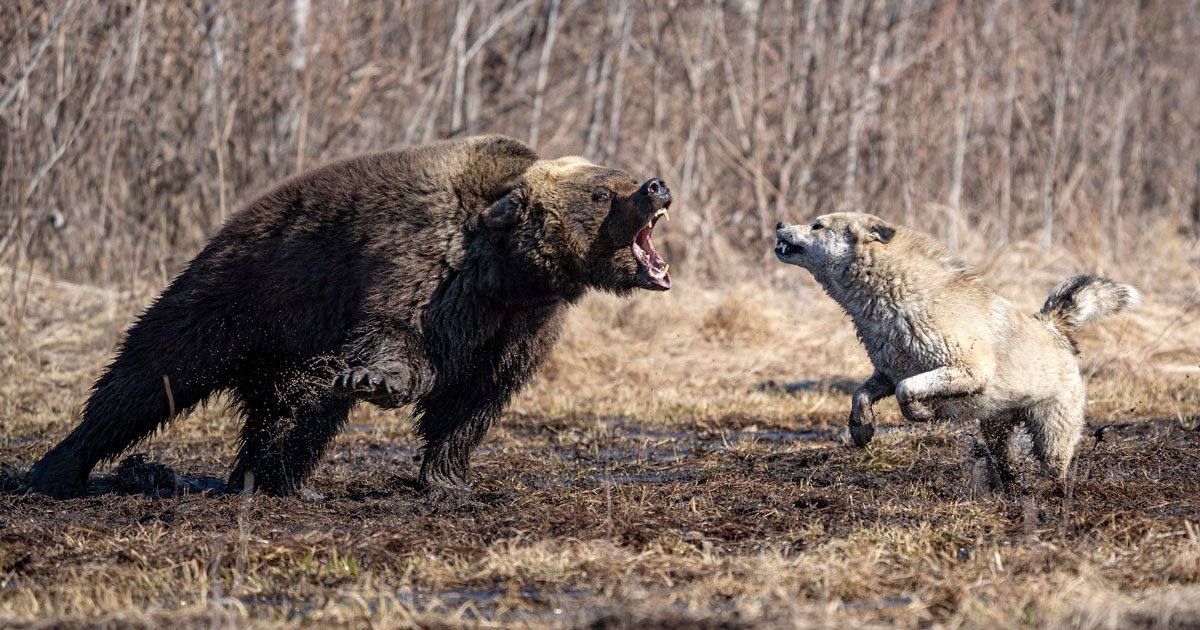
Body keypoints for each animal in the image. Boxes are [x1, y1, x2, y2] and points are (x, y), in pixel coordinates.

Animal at [25, 135, 676, 499]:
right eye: (602, 193)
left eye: (620, 176)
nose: (656, 185)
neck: (509, 272)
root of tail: (228, 225)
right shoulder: (424, 264)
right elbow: (397, 336)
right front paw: (378, 381)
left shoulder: (521, 324)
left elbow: (475, 398)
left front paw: (452, 481)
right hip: (238, 295)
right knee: (151, 374)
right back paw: (59, 469)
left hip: (287, 336)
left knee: (293, 408)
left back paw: (270, 478)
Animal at [772, 213, 1137, 484]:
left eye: (817, 225)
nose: (778, 223)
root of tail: (1052, 324)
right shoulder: (887, 372)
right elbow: (860, 394)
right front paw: (861, 430)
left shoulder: (965, 370)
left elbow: (908, 391)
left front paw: (921, 413)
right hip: (995, 429)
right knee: (1006, 461)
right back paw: (1009, 483)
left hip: (1052, 433)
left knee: (1055, 463)